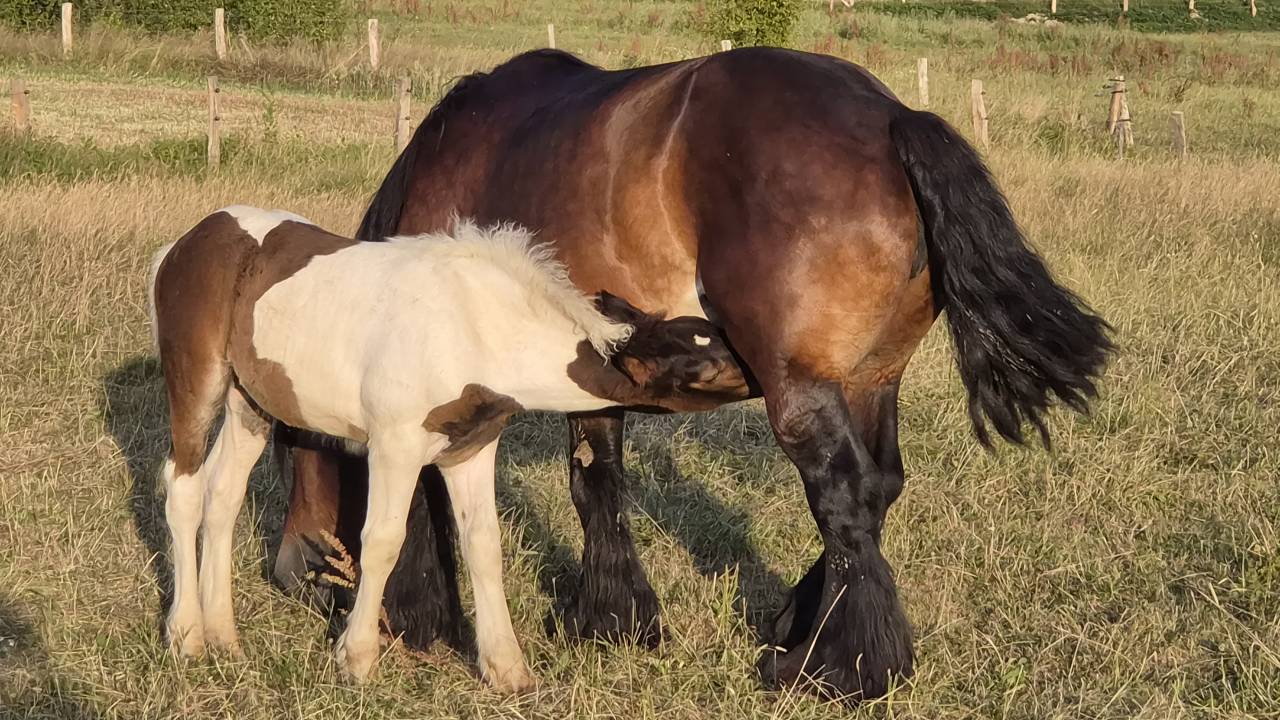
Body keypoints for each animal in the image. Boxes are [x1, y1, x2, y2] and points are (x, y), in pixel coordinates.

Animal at [148, 206, 751, 689]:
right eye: (706, 368)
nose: (764, 367)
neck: (475, 328)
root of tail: (185, 242)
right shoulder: (394, 444)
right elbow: (382, 541)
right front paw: (355, 658)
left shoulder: (471, 450)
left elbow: (484, 545)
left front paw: (507, 669)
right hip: (197, 380)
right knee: (183, 488)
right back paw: (187, 636)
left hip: (249, 402)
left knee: (223, 496)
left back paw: (224, 636)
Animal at [272, 48, 1114, 700]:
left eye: (290, 447)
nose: (287, 573)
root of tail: (890, 118)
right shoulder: (590, 373)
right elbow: (597, 479)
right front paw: (615, 620)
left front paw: (423, 617)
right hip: (872, 379)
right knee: (880, 488)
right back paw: (803, 628)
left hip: (802, 388)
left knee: (844, 492)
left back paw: (829, 668)